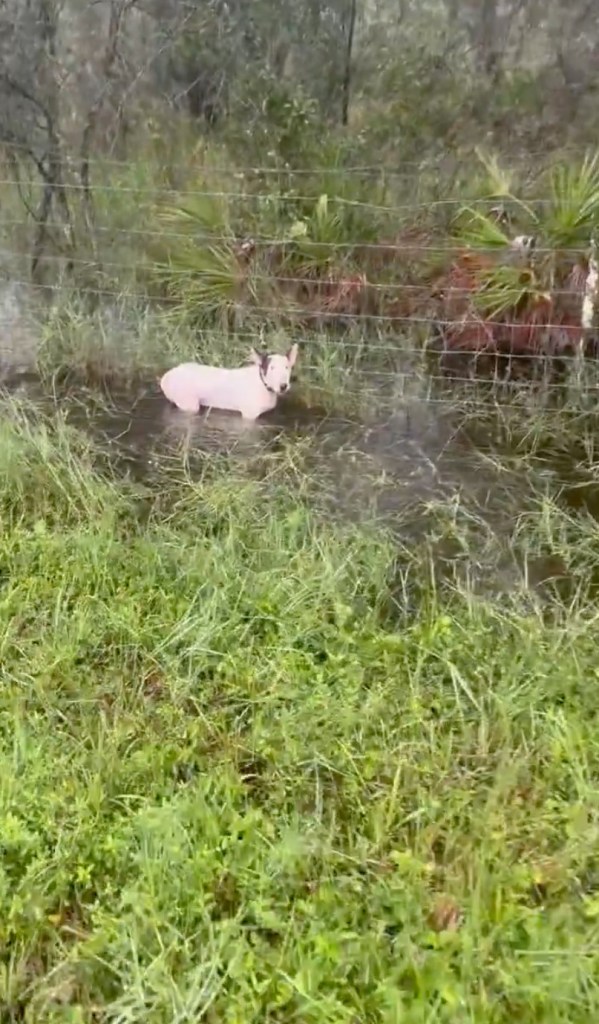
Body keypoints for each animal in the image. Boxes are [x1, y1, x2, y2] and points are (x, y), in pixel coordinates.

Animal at [159, 346, 296, 421]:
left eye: (287, 367)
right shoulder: (249, 415)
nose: (283, 386)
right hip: (189, 403)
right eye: (271, 368)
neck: (263, 384)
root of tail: (167, 376)